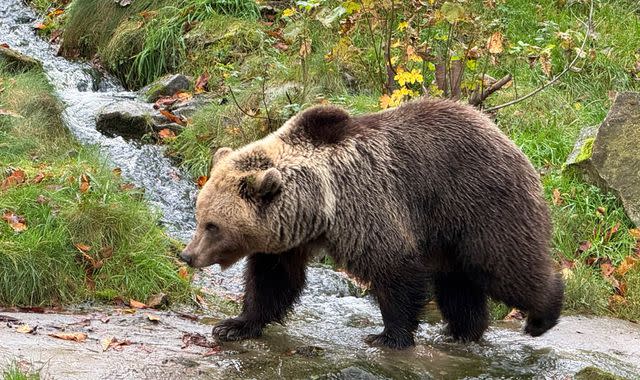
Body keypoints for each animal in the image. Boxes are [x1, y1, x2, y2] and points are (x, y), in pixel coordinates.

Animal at [179, 98, 560, 350]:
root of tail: (505, 136)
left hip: (479, 203)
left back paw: (541, 316)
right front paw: (234, 325)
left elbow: (394, 268)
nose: (187, 255)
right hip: (447, 229)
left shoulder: (367, 205)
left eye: (212, 225)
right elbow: (273, 280)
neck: (318, 205)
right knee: (457, 282)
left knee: (504, 266)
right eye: (199, 217)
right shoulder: (290, 236)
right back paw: (461, 330)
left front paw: (388, 335)